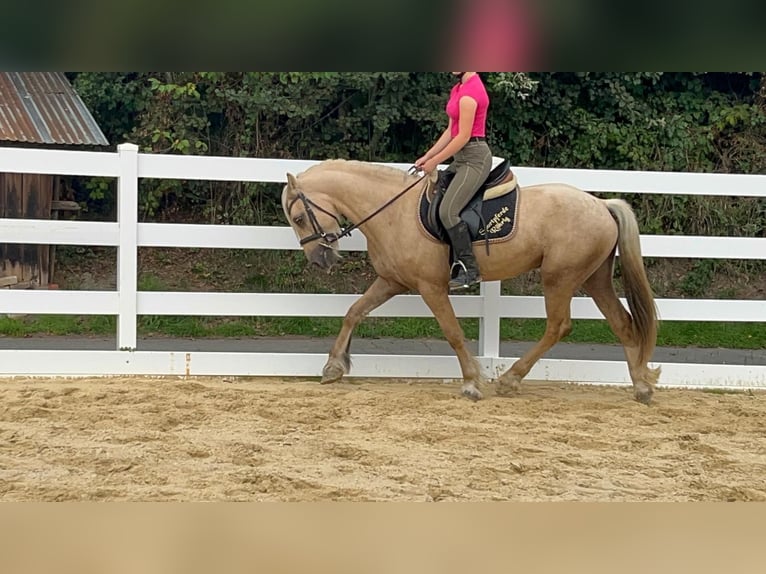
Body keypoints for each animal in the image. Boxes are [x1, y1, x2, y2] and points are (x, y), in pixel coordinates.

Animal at [281, 159, 661, 404]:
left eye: (298, 218)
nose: (319, 258)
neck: (392, 212)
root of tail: (601, 204)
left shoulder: (430, 287)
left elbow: (453, 332)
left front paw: (471, 383)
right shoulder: (391, 281)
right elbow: (354, 312)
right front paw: (333, 366)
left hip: (560, 277)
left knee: (559, 326)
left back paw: (510, 379)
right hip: (594, 279)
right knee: (623, 323)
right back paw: (641, 387)